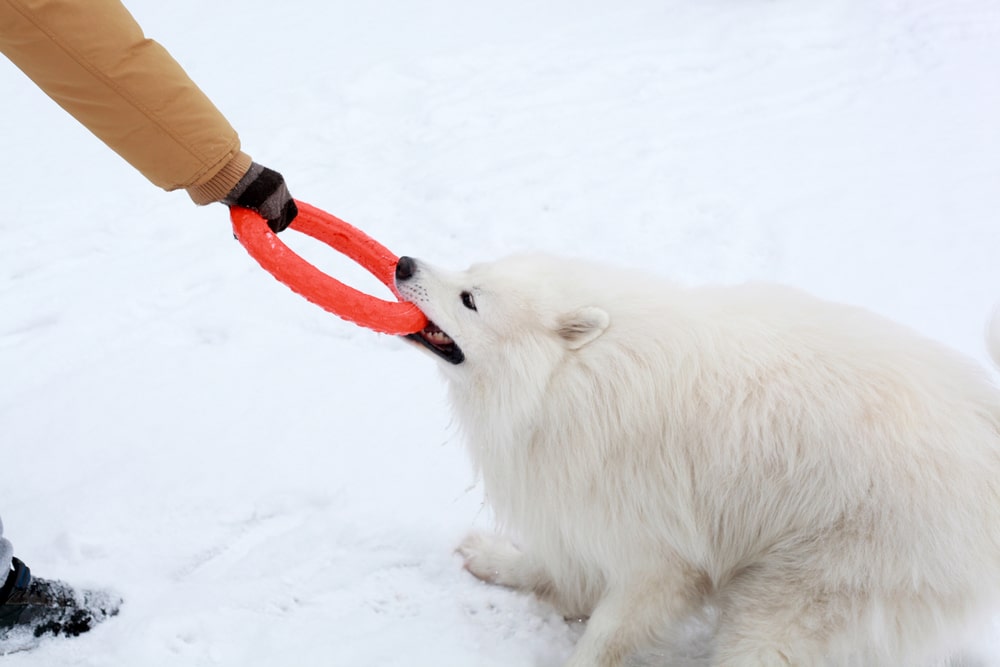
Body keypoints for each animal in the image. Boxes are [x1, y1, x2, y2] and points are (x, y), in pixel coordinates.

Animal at [392, 254, 1000, 667]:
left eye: (470, 298)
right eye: (469, 269)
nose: (403, 263)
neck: (567, 379)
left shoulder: (661, 556)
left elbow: (608, 630)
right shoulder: (582, 508)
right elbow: (558, 569)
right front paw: (494, 560)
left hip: (799, 595)